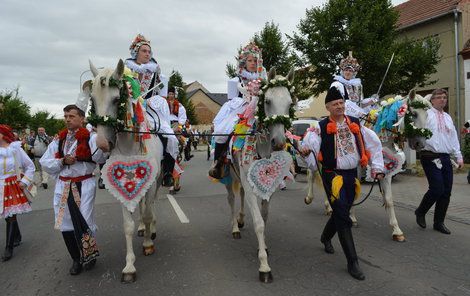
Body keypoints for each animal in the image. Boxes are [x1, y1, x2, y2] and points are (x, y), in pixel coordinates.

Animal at [85, 59, 163, 282]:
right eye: (93, 100)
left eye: (116, 99)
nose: (102, 144)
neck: (130, 146)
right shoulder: (120, 186)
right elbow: (127, 226)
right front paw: (129, 266)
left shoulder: (150, 183)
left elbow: (148, 212)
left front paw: (148, 244)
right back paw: (143, 228)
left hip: (155, 183)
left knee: (150, 205)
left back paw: (151, 230)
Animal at [223, 67, 296, 282]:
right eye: (267, 101)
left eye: (290, 103)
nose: (279, 142)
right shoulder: (248, 184)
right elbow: (259, 223)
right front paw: (264, 266)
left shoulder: (267, 186)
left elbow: (264, 216)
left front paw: (264, 246)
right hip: (230, 175)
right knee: (231, 198)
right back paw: (235, 227)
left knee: (240, 195)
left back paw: (240, 220)